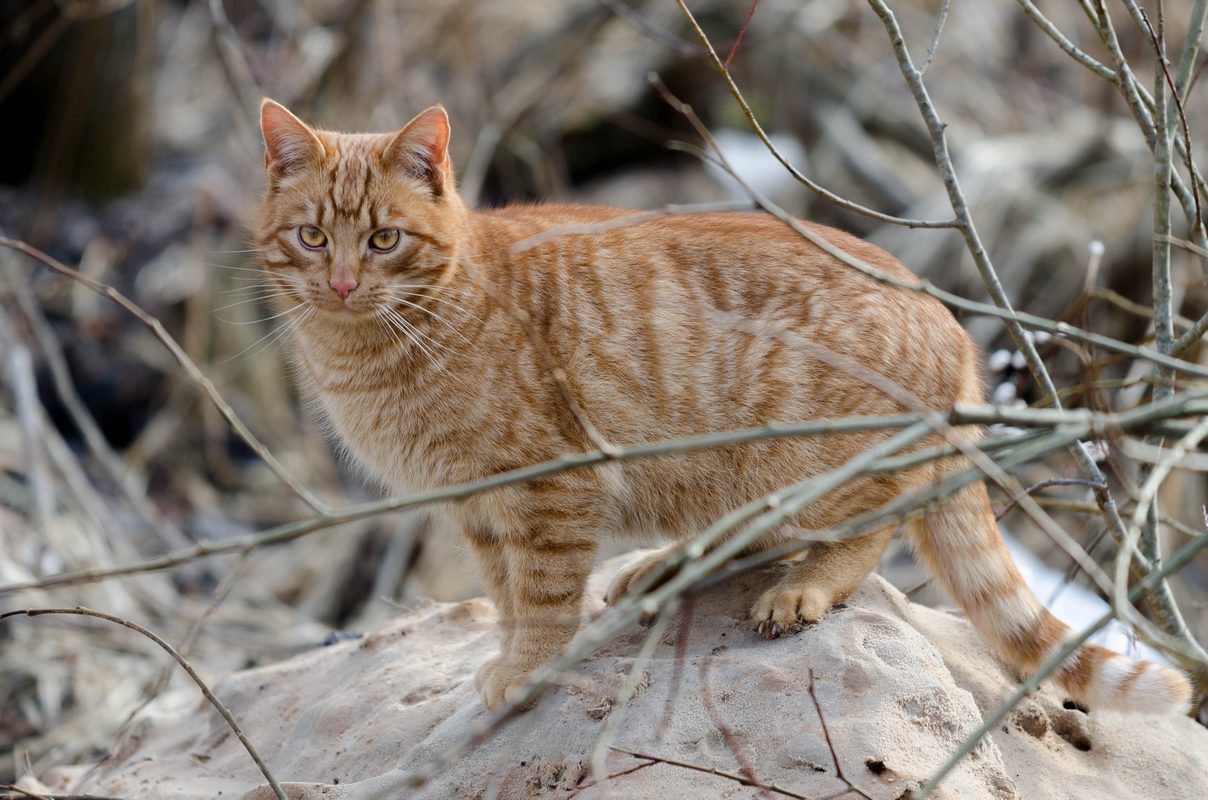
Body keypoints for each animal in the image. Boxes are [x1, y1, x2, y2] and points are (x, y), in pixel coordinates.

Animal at [252, 98, 1188, 715]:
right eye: (312, 237)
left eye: (384, 239)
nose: (343, 283)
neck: (375, 351)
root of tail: (953, 324)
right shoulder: (479, 512)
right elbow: (507, 595)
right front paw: (509, 655)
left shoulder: (549, 490)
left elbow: (543, 598)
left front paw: (527, 669)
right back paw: (671, 564)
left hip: (804, 446)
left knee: (873, 521)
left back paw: (808, 586)